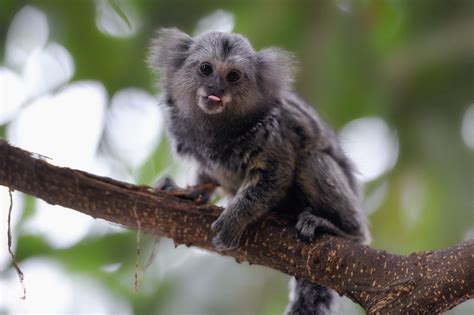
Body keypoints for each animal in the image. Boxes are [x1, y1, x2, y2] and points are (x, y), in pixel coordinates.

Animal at [148, 28, 370, 314]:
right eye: (206, 69)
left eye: (233, 76)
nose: (216, 89)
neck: (218, 130)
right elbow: (207, 176)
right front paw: (190, 193)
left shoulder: (273, 132)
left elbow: (274, 175)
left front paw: (235, 218)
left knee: (312, 159)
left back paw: (342, 229)